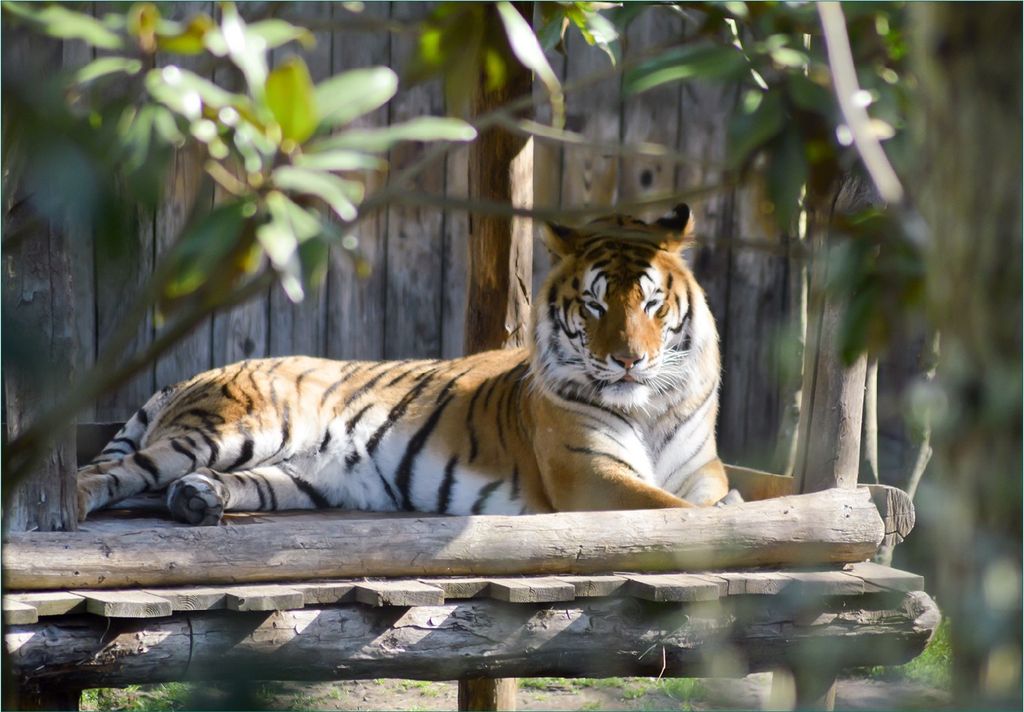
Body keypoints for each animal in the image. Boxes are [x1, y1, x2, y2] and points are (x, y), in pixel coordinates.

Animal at [76, 203, 730, 525]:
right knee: (110, 473)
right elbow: (678, 514)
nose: (628, 360)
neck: (650, 408)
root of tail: (192, 376)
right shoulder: (589, 474)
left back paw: (196, 499)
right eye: (594, 305)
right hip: (236, 429)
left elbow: (720, 503)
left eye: (651, 302)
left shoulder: (705, 472)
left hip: (301, 477)